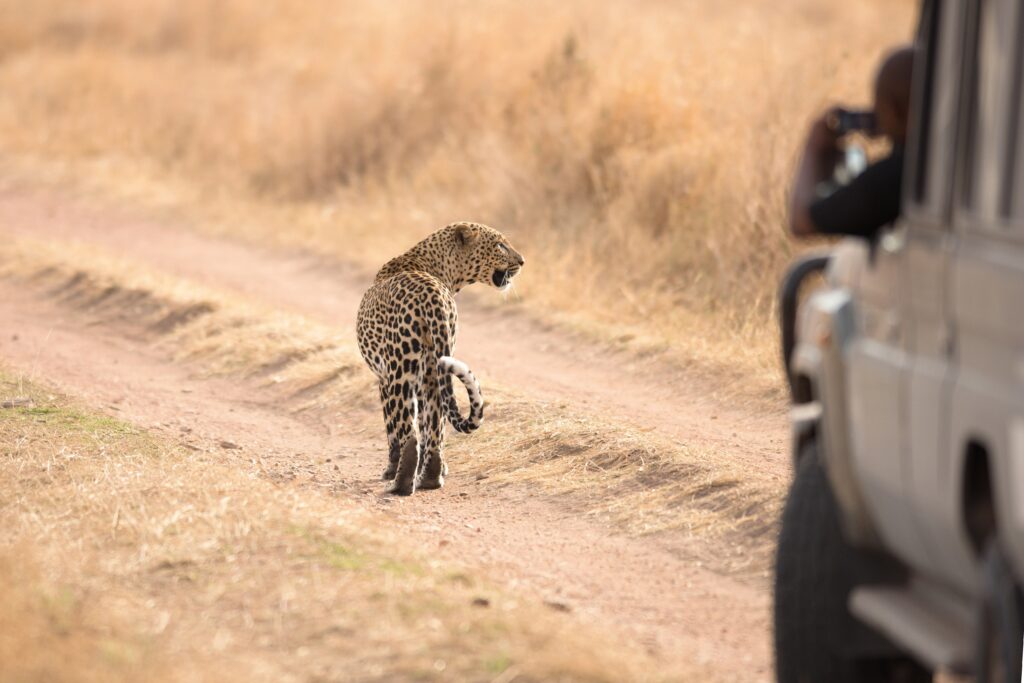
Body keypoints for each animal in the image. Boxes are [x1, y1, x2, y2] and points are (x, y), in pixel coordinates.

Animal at [356, 222, 524, 493]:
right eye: (500, 245)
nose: (522, 261)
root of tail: (432, 294)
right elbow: (427, 423)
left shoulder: (383, 378)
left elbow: (391, 426)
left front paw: (390, 469)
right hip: (434, 367)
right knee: (434, 422)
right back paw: (431, 477)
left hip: (400, 369)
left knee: (408, 432)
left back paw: (400, 484)